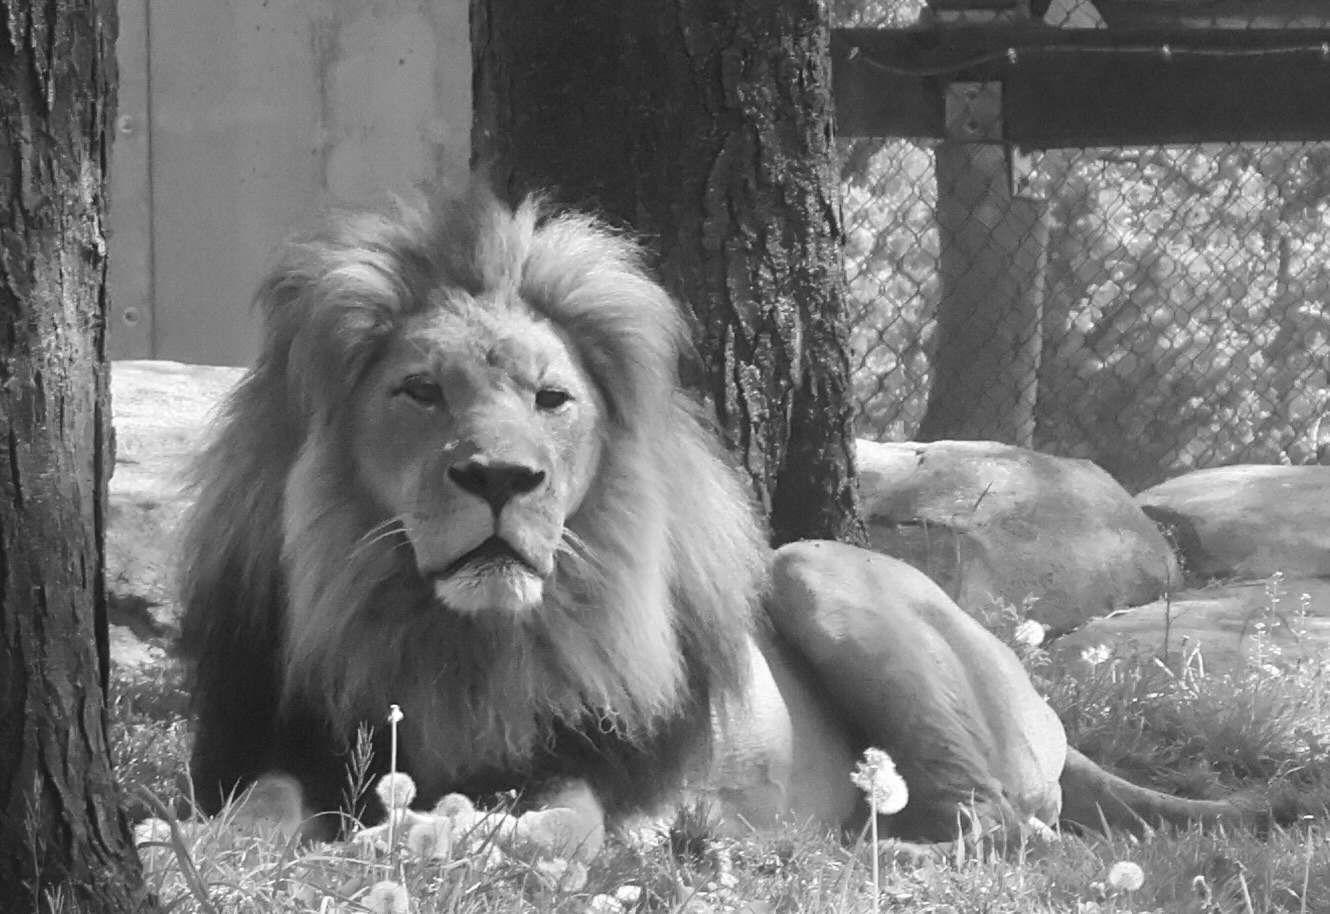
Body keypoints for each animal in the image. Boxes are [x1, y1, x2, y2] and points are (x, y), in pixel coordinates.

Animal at [180, 179, 1265, 851]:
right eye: (420, 392)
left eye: (550, 398)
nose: (500, 477)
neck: (452, 641)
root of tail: (1039, 703)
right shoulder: (284, 738)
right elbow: (260, 800)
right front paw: (202, 841)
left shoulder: (599, 770)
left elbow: (552, 831)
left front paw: (433, 832)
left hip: (815, 568)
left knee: (997, 825)